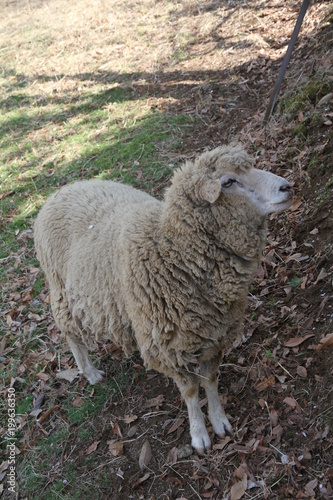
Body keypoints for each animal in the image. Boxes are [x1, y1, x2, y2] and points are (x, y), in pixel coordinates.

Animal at [34, 144, 294, 454]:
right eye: (228, 181)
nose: (286, 186)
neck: (172, 251)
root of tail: (60, 192)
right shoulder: (169, 348)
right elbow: (192, 392)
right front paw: (199, 435)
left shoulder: (214, 334)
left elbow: (211, 380)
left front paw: (219, 421)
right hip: (62, 291)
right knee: (71, 334)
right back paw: (90, 371)